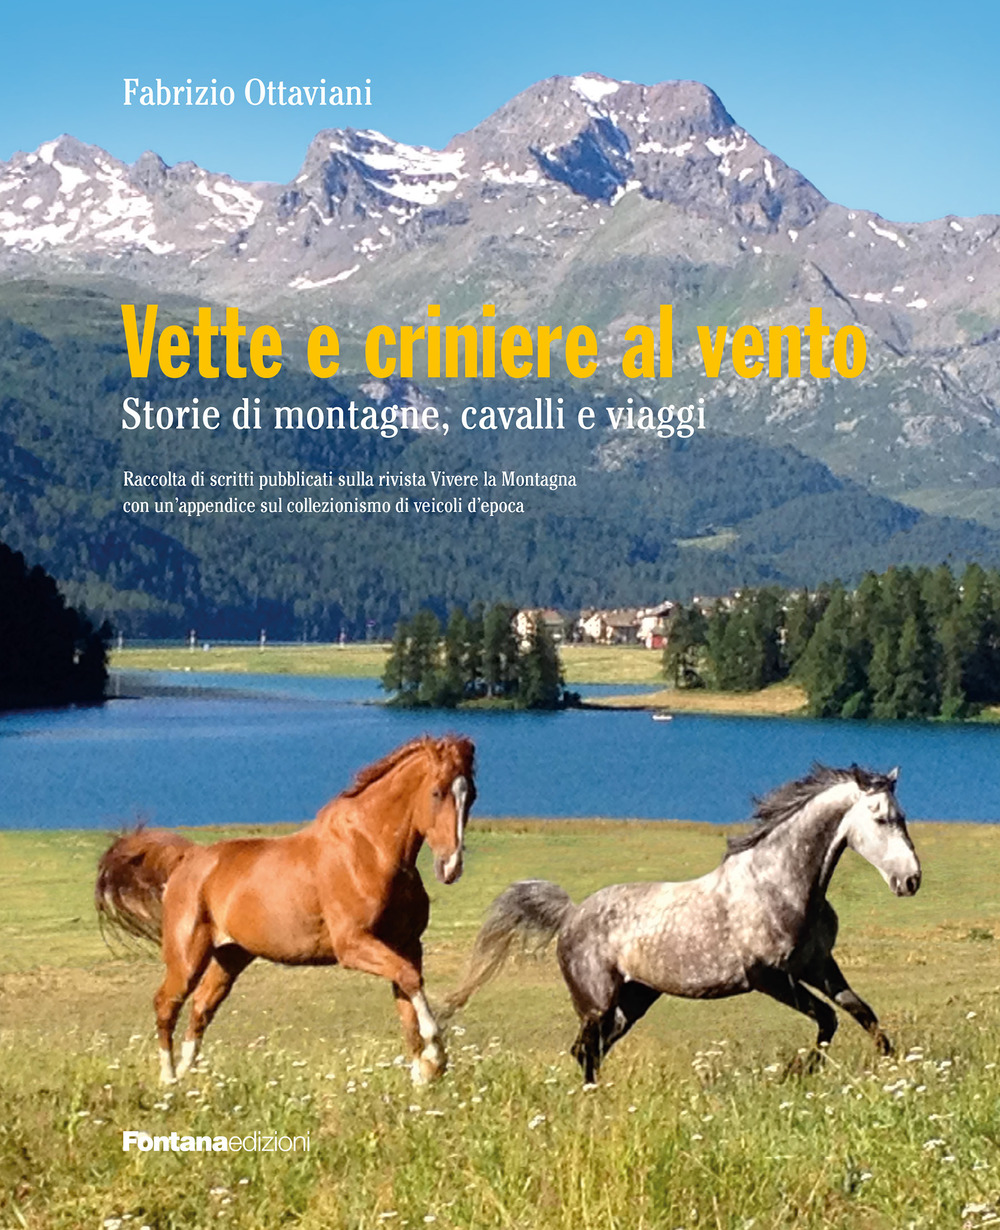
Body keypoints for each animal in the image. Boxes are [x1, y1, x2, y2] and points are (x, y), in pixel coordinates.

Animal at [96, 734, 476, 1086]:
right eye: (437, 792)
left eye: (470, 794)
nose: (451, 867)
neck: (370, 852)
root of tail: (188, 859)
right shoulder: (353, 945)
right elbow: (410, 982)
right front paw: (436, 1057)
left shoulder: (406, 945)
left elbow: (406, 1004)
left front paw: (423, 1076)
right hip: (187, 957)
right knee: (167, 1004)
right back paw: (170, 1080)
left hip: (230, 956)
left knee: (201, 1007)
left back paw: (191, 1078)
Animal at [444, 764, 919, 1083]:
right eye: (881, 818)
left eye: (903, 816)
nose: (911, 880)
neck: (782, 886)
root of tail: (571, 914)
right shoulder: (768, 977)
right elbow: (828, 1017)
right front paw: (798, 1070)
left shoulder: (818, 965)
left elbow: (859, 1014)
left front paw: (892, 1068)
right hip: (596, 1002)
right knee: (584, 1050)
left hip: (634, 999)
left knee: (595, 1050)